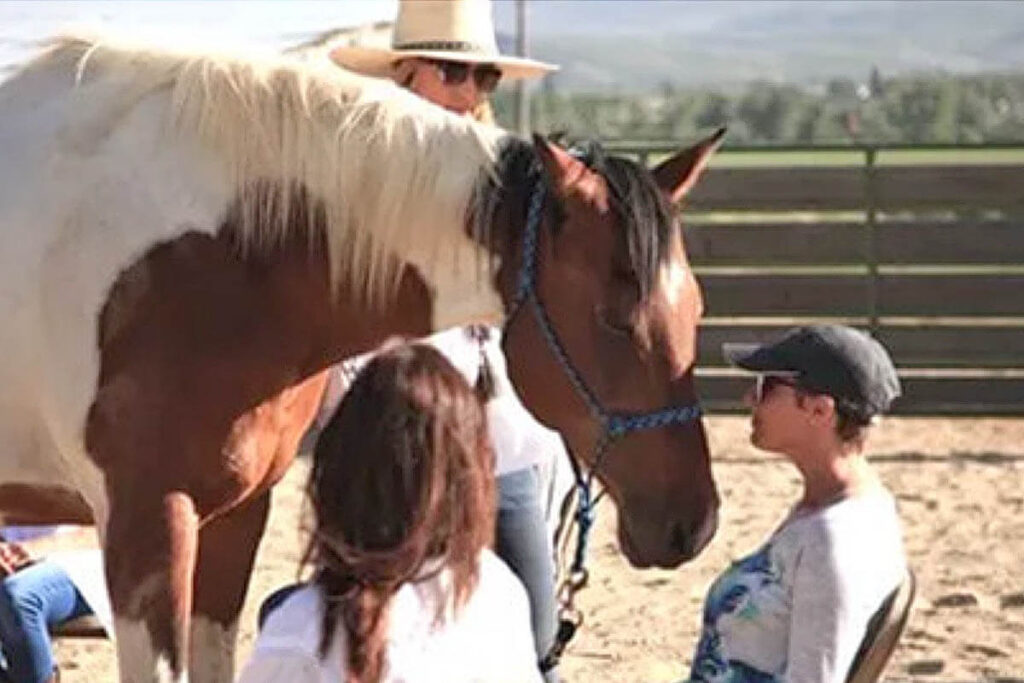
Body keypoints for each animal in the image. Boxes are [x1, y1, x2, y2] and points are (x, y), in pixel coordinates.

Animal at [0, 33, 720, 683]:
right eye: (615, 318)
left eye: (696, 309)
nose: (692, 523)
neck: (216, 258)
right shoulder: (147, 524)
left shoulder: (236, 517)